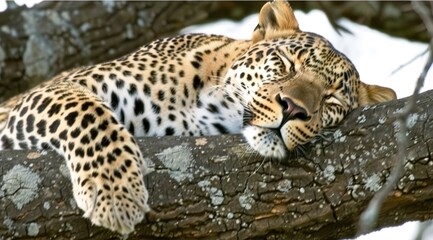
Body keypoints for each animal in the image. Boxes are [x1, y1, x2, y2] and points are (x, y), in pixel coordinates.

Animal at [0, 0, 394, 235]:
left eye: (331, 100)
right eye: (286, 64)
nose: (293, 109)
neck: (207, 106)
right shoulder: (56, 92)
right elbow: (88, 114)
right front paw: (115, 195)